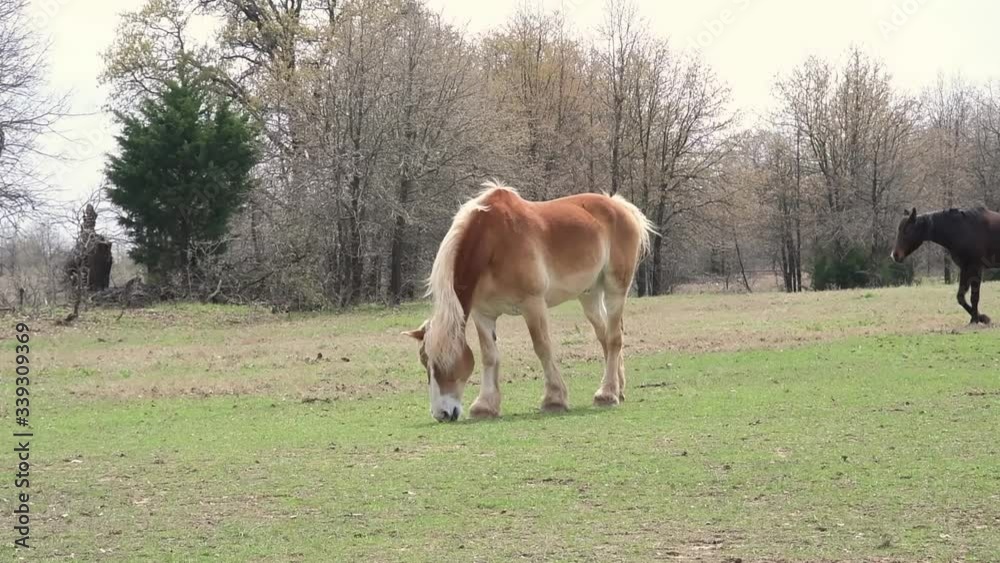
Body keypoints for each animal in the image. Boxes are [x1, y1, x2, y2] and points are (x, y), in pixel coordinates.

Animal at [403, 182, 655, 422]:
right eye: (425, 363)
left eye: (445, 362)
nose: (442, 414)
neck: (493, 243)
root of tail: (622, 207)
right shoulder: (482, 314)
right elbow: (489, 355)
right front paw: (485, 406)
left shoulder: (532, 304)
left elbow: (542, 347)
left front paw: (554, 399)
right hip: (589, 296)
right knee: (604, 336)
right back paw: (617, 389)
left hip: (615, 288)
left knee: (614, 338)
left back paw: (607, 394)